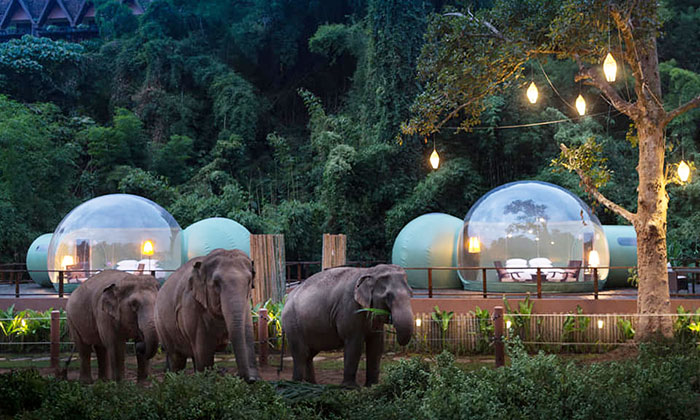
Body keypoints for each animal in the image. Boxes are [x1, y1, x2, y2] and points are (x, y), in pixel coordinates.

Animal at [155, 248, 260, 382]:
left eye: (249, 281)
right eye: (216, 283)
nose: (250, 379)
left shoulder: (247, 305)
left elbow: (246, 332)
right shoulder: (191, 305)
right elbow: (204, 352)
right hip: (162, 326)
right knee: (177, 358)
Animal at [282, 264, 414, 387]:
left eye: (411, 294)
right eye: (388, 296)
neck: (369, 271)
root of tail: (286, 299)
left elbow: (376, 345)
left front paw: (373, 385)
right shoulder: (349, 308)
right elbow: (354, 343)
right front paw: (350, 387)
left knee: (309, 354)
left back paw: (312, 385)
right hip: (292, 324)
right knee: (301, 353)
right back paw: (295, 385)